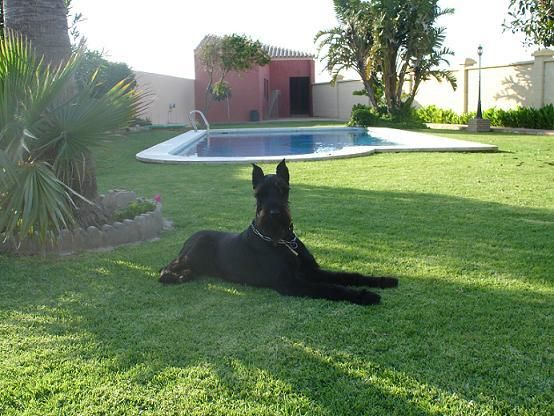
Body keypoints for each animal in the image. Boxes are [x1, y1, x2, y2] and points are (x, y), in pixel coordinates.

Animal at [160, 159, 396, 306]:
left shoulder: (311, 271)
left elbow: (348, 276)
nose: (274, 214)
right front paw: (365, 296)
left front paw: (383, 280)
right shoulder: (290, 283)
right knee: (165, 268)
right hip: (195, 251)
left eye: (284, 190)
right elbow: (330, 288)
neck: (281, 240)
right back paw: (175, 276)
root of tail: (189, 238)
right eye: (259, 194)